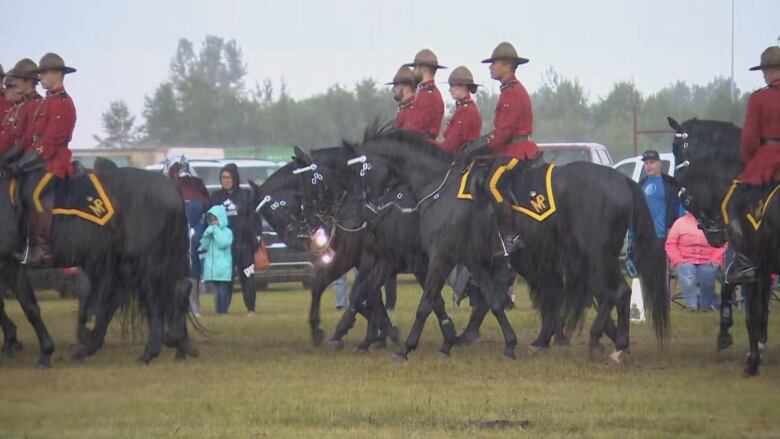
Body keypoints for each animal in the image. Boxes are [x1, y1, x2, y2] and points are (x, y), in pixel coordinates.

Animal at [0, 163, 193, 366]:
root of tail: (172, 190)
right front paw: (11, 342)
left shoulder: (11, 263)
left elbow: (29, 306)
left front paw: (44, 352)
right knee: (159, 294)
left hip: (145, 261)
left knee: (154, 299)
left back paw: (151, 351)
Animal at [668, 117, 776, 378]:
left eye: (676, 149)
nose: (714, 236)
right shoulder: (760, 265)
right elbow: (738, 292)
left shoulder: (752, 263)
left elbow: (751, 309)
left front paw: (752, 358)